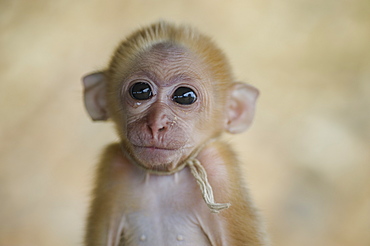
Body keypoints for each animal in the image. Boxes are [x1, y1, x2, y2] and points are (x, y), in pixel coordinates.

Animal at [82, 21, 268, 246]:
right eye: (140, 91)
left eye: (185, 96)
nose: (156, 124)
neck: (163, 178)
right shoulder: (113, 166)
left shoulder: (219, 167)